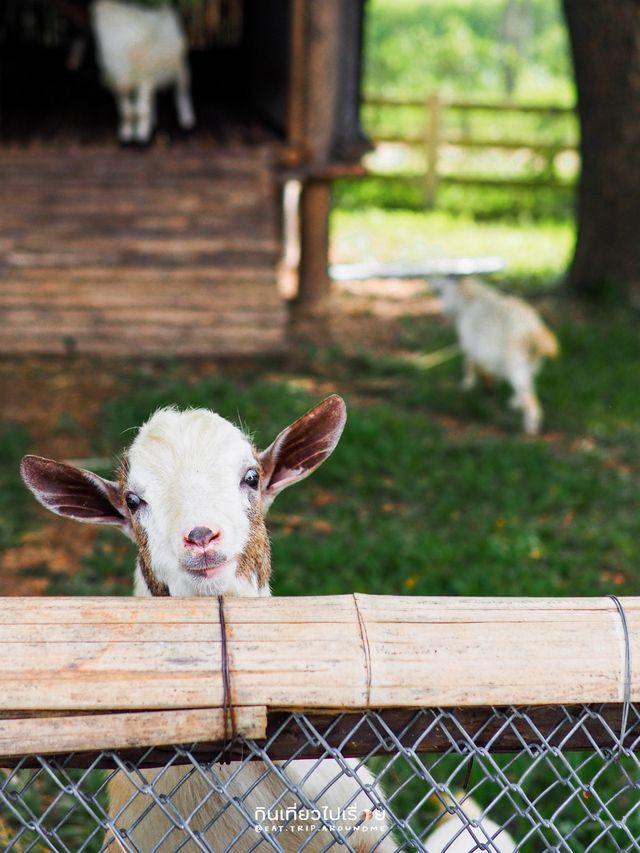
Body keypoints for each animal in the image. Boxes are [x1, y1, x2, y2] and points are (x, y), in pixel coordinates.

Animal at [90, 0, 195, 143]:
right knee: (152, 97)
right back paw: (153, 121)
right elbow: (126, 111)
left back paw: (186, 120)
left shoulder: (143, 77)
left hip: (181, 67)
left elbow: (141, 109)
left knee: (182, 92)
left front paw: (142, 137)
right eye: (100, 37)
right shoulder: (119, 84)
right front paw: (126, 134)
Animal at [438, 278, 556, 436]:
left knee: (531, 401)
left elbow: (470, 365)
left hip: (515, 366)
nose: (443, 311)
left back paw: (530, 426)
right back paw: (516, 403)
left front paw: (468, 385)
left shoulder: (472, 345)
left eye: (442, 292)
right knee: (526, 388)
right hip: (526, 366)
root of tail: (534, 331)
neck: (470, 300)